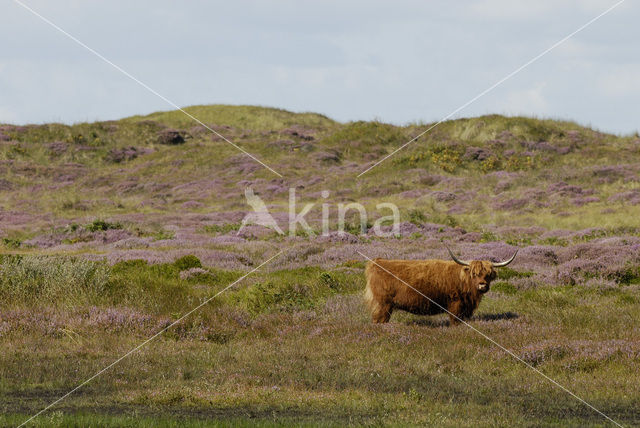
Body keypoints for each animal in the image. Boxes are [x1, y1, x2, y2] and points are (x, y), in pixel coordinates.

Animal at [362, 247, 516, 324]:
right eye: (474, 274)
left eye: (488, 275)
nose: (482, 285)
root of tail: (376, 262)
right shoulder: (456, 305)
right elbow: (455, 321)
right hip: (383, 305)